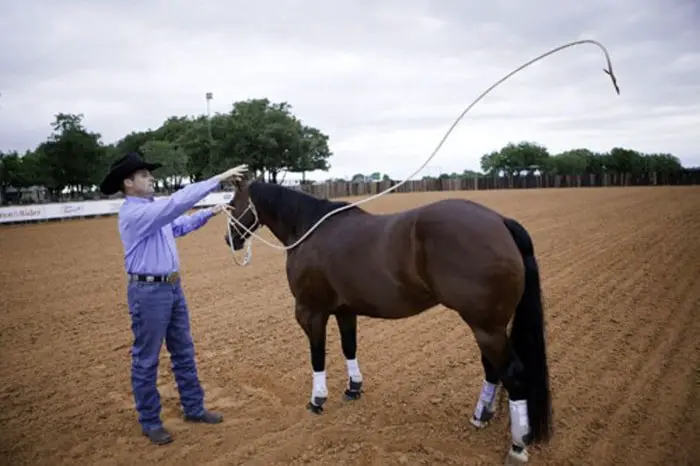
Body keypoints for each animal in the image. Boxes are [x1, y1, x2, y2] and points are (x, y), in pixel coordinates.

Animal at [224, 178, 552, 462]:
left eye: (231, 203)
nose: (230, 240)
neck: (309, 230)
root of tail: (500, 221)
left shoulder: (310, 312)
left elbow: (318, 356)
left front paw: (317, 400)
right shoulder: (345, 311)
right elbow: (349, 347)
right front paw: (353, 388)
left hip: (486, 327)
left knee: (513, 373)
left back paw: (517, 446)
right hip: (488, 327)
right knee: (493, 369)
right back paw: (482, 415)